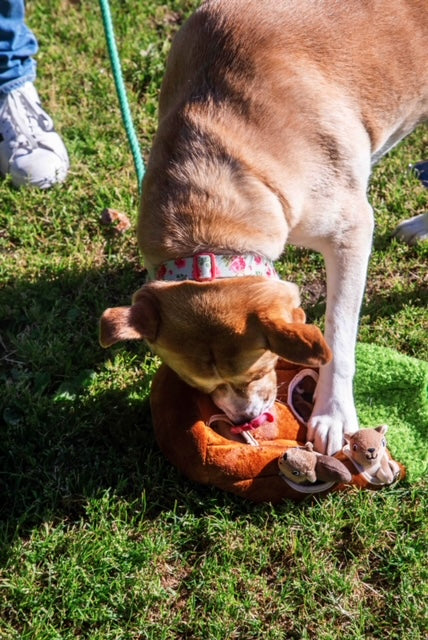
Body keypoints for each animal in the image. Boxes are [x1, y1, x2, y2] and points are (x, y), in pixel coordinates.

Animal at [99, 0, 424, 456]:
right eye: (199, 384)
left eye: (257, 371)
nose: (246, 420)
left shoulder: (352, 229)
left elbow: (338, 331)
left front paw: (333, 413)